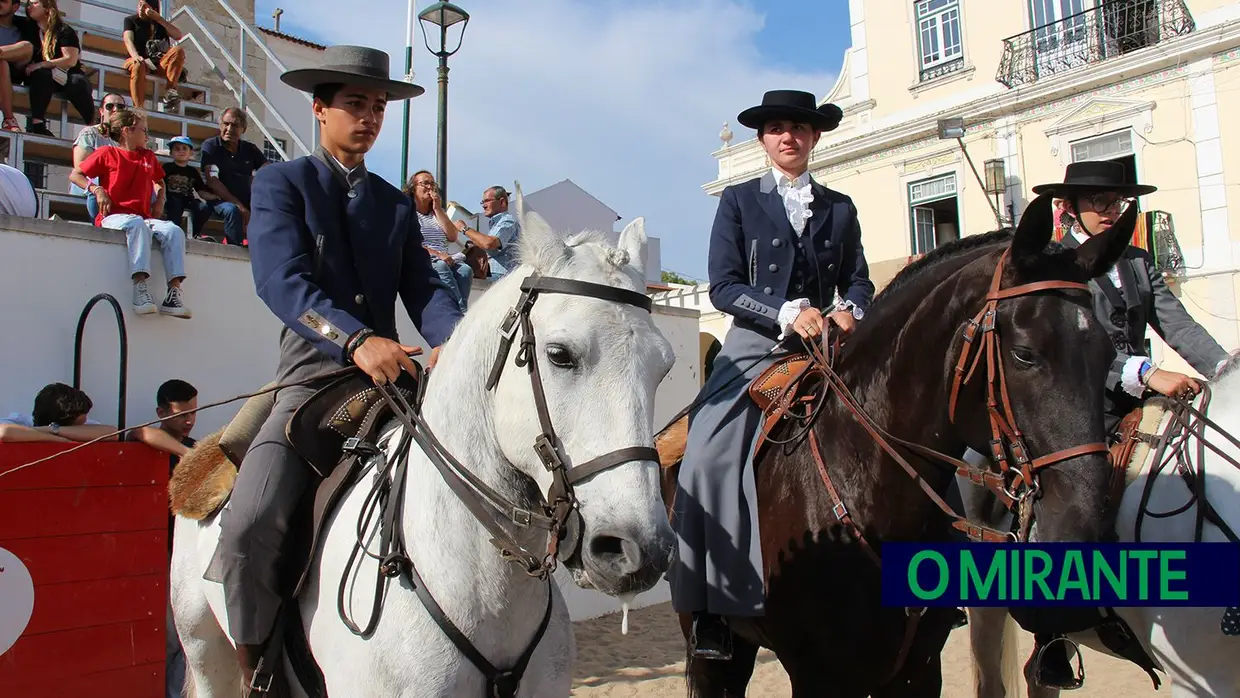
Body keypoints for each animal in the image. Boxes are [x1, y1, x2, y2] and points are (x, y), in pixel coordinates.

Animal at [664, 195, 1135, 698]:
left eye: (1109, 353)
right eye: (1025, 353)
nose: (1079, 531)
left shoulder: (918, 669)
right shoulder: (816, 675)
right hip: (717, 654)